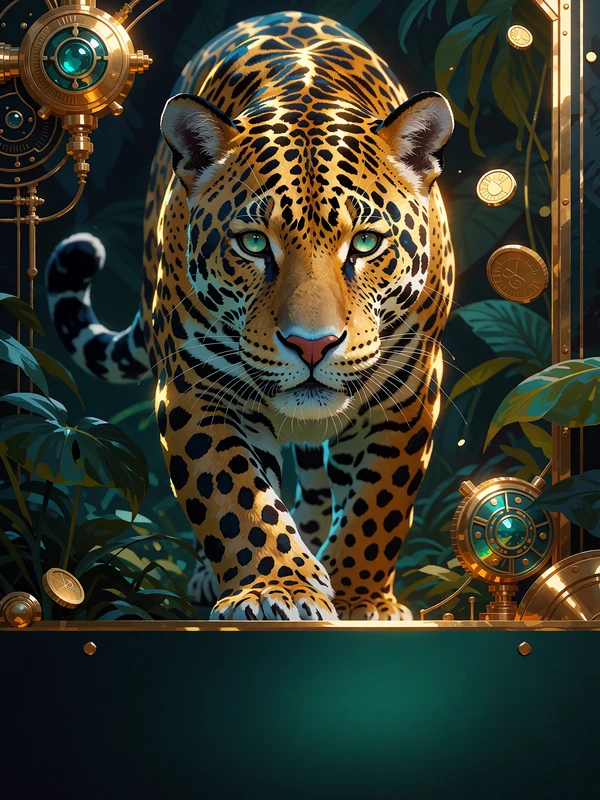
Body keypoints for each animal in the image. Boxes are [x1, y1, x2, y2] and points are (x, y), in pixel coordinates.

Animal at [46, 11, 455, 621]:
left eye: (366, 242)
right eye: (255, 243)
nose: (312, 345)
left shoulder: (409, 386)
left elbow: (379, 501)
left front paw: (359, 597)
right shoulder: (198, 388)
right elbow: (237, 499)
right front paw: (279, 590)